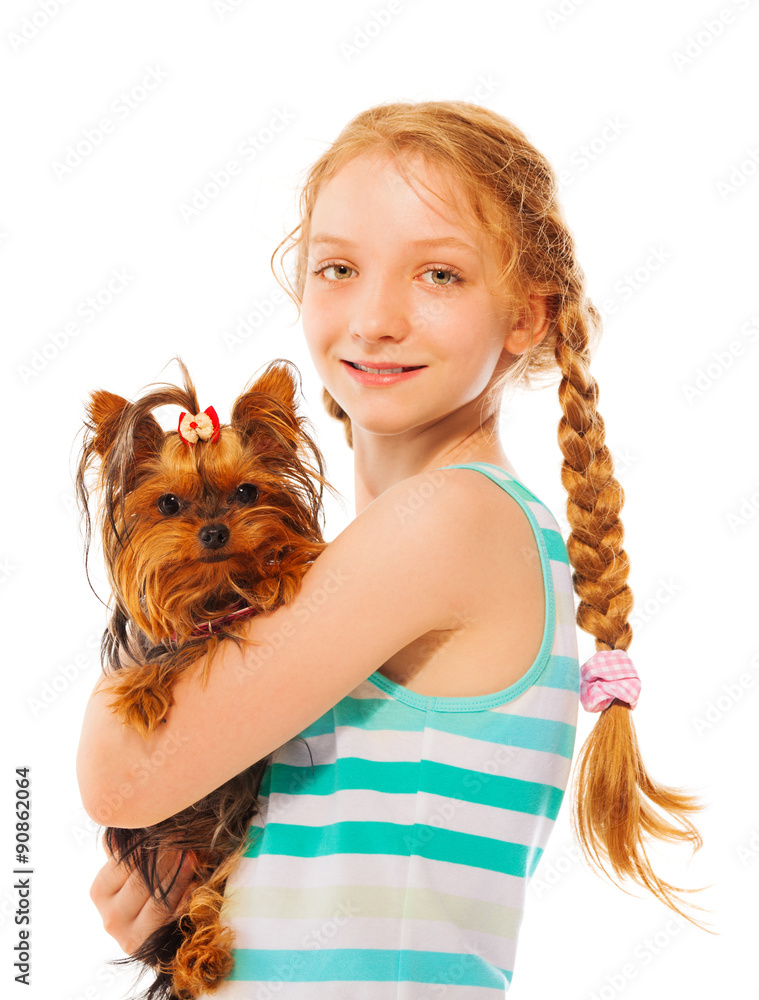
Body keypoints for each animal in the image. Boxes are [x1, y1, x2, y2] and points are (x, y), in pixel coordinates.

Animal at [77, 362, 336, 1000]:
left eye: (246, 493)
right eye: (169, 504)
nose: (216, 531)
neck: (216, 596)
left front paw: (279, 566)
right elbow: (171, 652)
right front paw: (142, 691)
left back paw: (200, 955)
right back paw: (199, 957)